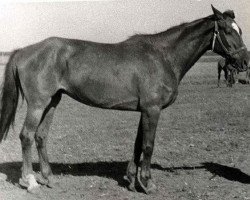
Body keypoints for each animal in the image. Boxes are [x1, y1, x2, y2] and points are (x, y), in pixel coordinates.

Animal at [0, 5, 248, 194]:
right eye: (227, 30)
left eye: (239, 30)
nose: (244, 61)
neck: (163, 56)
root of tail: (23, 51)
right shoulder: (152, 109)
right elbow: (148, 145)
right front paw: (147, 183)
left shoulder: (144, 110)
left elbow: (138, 144)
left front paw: (131, 180)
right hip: (37, 104)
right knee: (26, 136)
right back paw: (30, 181)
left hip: (52, 101)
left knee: (41, 136)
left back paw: (48, 178)